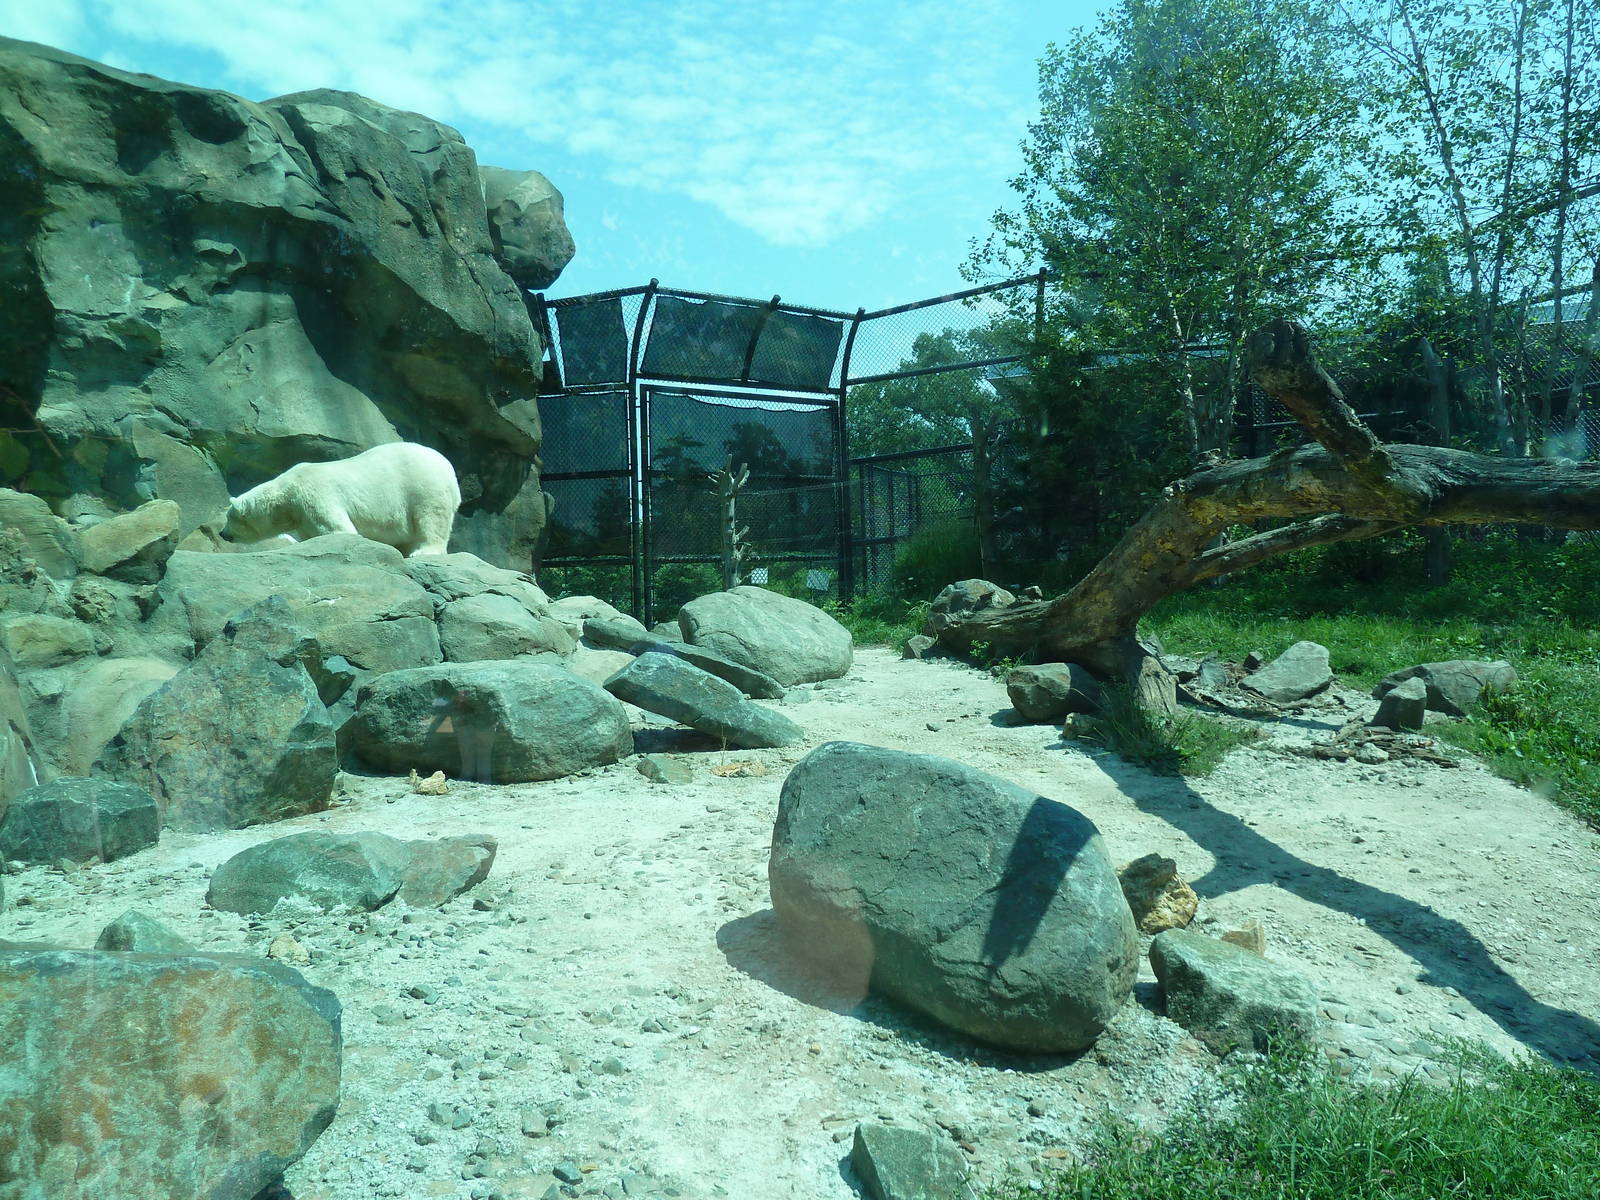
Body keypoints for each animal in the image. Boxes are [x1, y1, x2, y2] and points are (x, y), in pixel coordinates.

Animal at [222, 442, 462, 557]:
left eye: (229, 517)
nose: (223, 534)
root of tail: (449, 470)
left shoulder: (314, 495)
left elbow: (338, 529)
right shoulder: (302, 517)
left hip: (423, 486)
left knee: (432, 518)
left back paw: (424, 551)